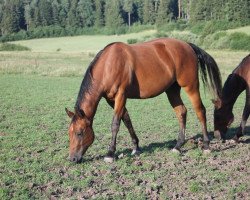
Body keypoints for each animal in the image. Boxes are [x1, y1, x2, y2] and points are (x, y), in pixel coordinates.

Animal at [65, 38, 222, 163]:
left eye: (79, 133)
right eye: (69, 133)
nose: (72, 159)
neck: (108, 65)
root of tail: (187, 45)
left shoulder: (121, 95)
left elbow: (115, 123)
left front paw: (110, 153)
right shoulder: (111, 100)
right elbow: (126, 119)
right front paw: (136, 147)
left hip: (190, 86)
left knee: (200, 110)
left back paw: (206, 145)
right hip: (172, 90)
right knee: (181, 112)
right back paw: (178, 146)